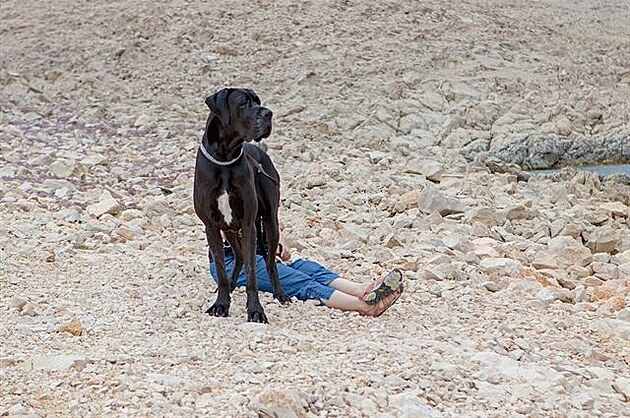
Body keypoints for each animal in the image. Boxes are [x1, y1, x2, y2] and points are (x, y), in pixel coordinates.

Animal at [195, 88, 292, 324]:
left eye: (258, 101)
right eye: (243, 103)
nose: (268, 113)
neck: (225, 159)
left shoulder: (248, 225)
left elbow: (252, 273)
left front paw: (256, 310)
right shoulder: (211, 226)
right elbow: (221, 270)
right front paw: (221, 304)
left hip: (270, 223)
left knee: (270, 262)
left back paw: (280, 294)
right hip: (229, 229)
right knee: (238, 256)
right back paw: (230, 287)